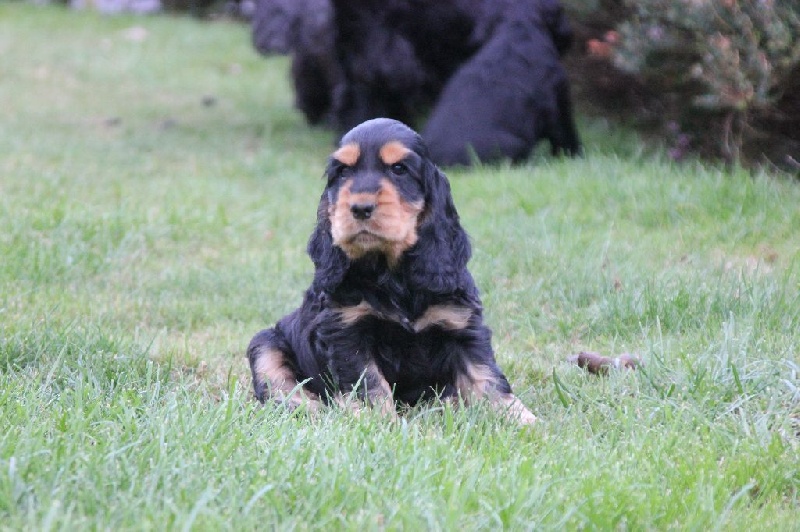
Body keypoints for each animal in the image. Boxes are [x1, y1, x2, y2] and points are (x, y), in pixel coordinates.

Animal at [247, 118, 536, 423]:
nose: (360, 207)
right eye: (343, 172)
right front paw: (380, 423)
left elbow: (486, 376)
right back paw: (309, 406)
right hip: (265, 341)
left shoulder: (462, 323)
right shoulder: (346, 332)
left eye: (399, 169)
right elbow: (369, 383)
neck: (391, 273)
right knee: (278, 383)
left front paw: (524, 420)